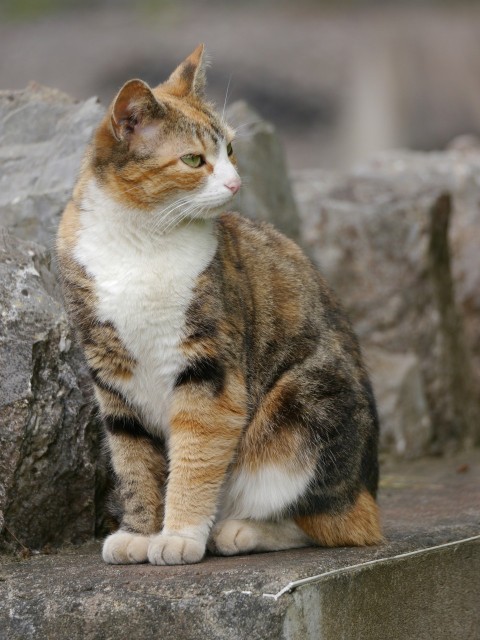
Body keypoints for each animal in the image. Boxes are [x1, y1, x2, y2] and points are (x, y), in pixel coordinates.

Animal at [56, 43, 382, 564]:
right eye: (193, 159)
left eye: (229, 149)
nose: (236, 183)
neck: (141, 240)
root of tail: (366, 489)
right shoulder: (112, 376)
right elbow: (133, 460)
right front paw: (140, 533)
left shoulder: (208, 369)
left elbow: (195, 456)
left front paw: (178, 536)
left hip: (302, 406)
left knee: (334, 523)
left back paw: (239, 531)